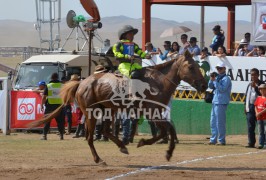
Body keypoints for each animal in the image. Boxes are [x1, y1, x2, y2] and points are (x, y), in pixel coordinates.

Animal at [29, 50, 208, 165]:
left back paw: (122, 146)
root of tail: (82, 83)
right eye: (191, 67)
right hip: (92, 113)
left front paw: (168, 153)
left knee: (105, 131)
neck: (157, 82)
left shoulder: (155, 112)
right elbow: (165, 131)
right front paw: (143, 142)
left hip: (108, 111)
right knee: (90, 137)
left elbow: (169, 129)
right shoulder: (152, 111)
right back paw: (99, 159)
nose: (204, 85)